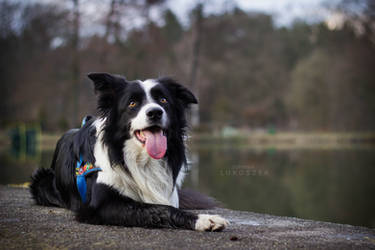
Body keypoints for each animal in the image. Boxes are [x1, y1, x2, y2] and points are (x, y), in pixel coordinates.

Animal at [29, 73, 228, 231]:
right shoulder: (100, 205)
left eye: (163, 100)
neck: (142, 159)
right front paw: (204, 219)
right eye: (132, 103)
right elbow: (160, 209)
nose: (155, 112)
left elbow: (163, 206)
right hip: (42, 180)